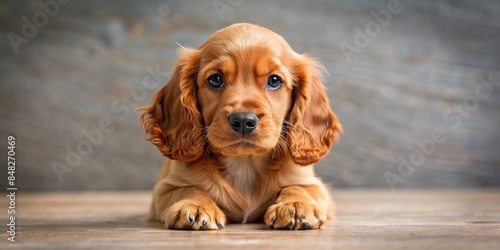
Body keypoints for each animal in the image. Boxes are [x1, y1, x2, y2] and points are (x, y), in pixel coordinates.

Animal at [141, 23, 344, 230]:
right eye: (215, 79)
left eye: (274, 80)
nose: (243, 121)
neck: (244, 163)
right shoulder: (164, 190)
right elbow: (189, 188)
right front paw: (195, 205)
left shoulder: (312, 184)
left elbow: (299, 187)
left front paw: (295, 205)